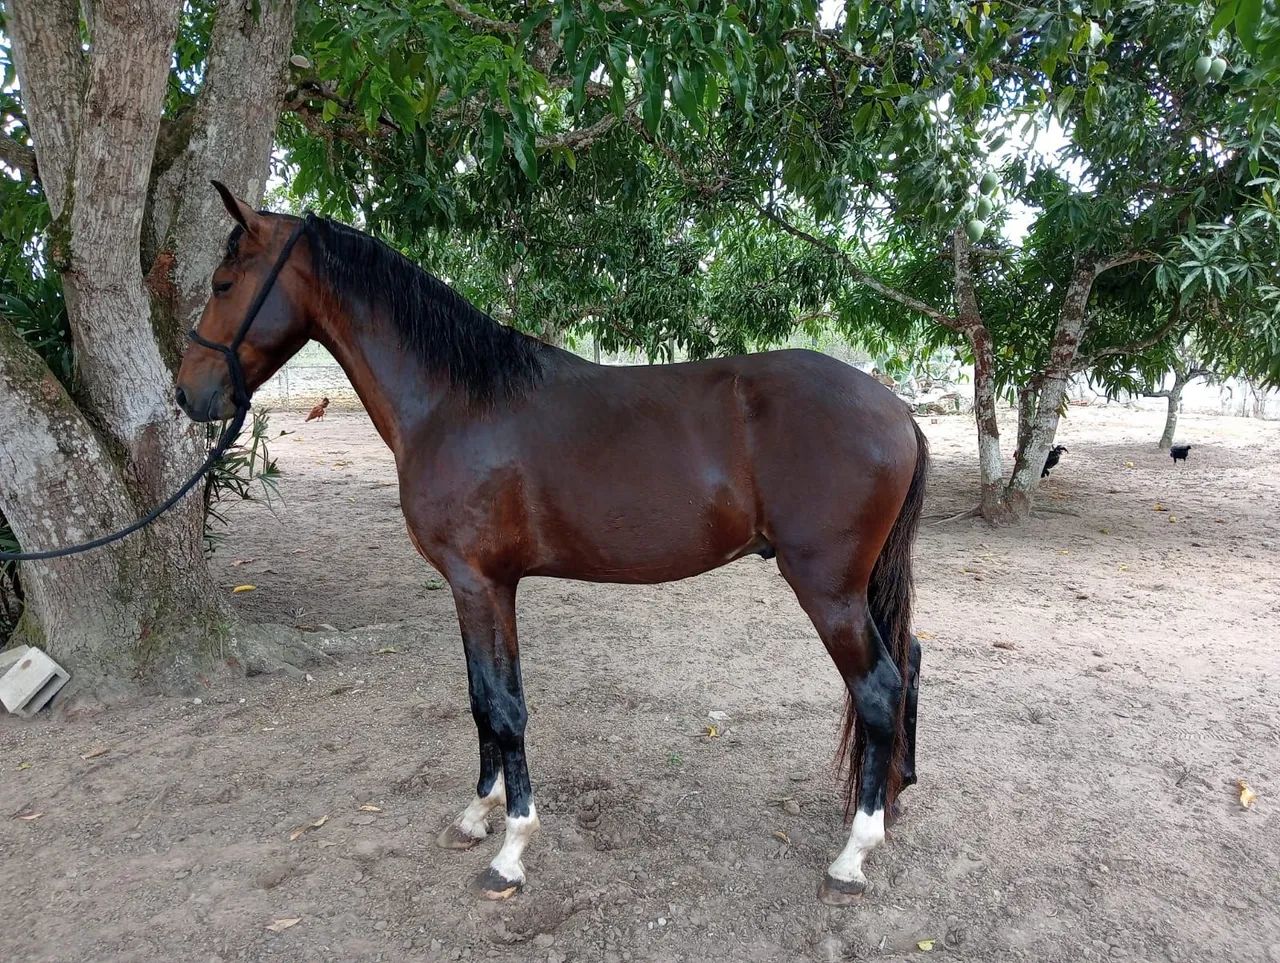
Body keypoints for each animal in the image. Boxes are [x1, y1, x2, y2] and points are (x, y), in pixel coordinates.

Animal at [176, 183, 929, 905]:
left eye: (223, 282)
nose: (188, 393)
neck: (456, 402)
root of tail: (896, 409)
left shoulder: (480, 582)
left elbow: (506, 708)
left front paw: (511, 849)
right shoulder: (474, 586)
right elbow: (481, 698)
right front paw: (476, 815)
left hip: (827, 589)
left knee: (878, 688)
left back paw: (853, 856)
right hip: (858, 588)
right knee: (910, 662)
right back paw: (895, 797)